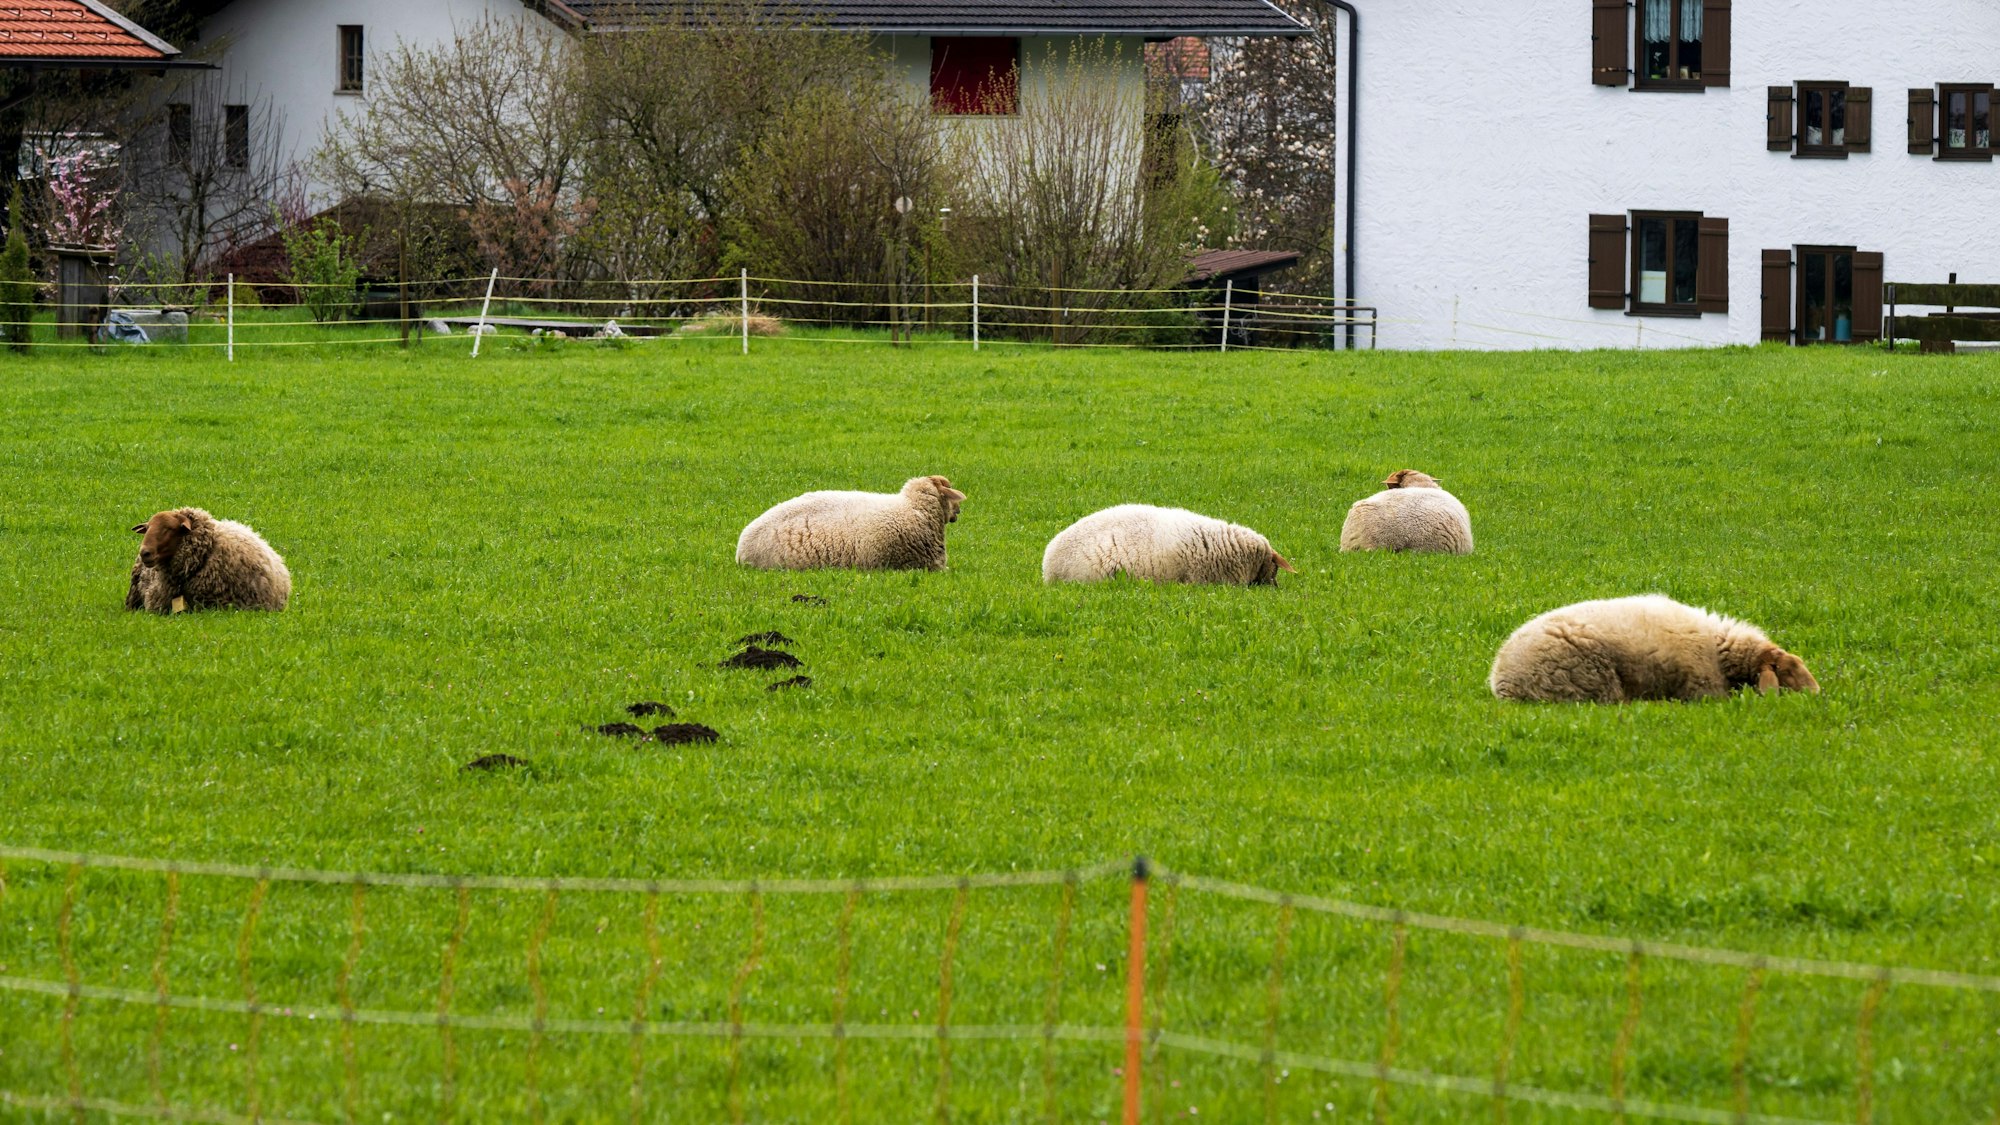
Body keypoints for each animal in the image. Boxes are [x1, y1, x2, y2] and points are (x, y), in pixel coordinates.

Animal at [1488, 594, 1819, 703]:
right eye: (1787, 673)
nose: (1817, 695)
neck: (1719, 649)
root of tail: (1501, 679)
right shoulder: (1704, 688)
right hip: (1591, 680)